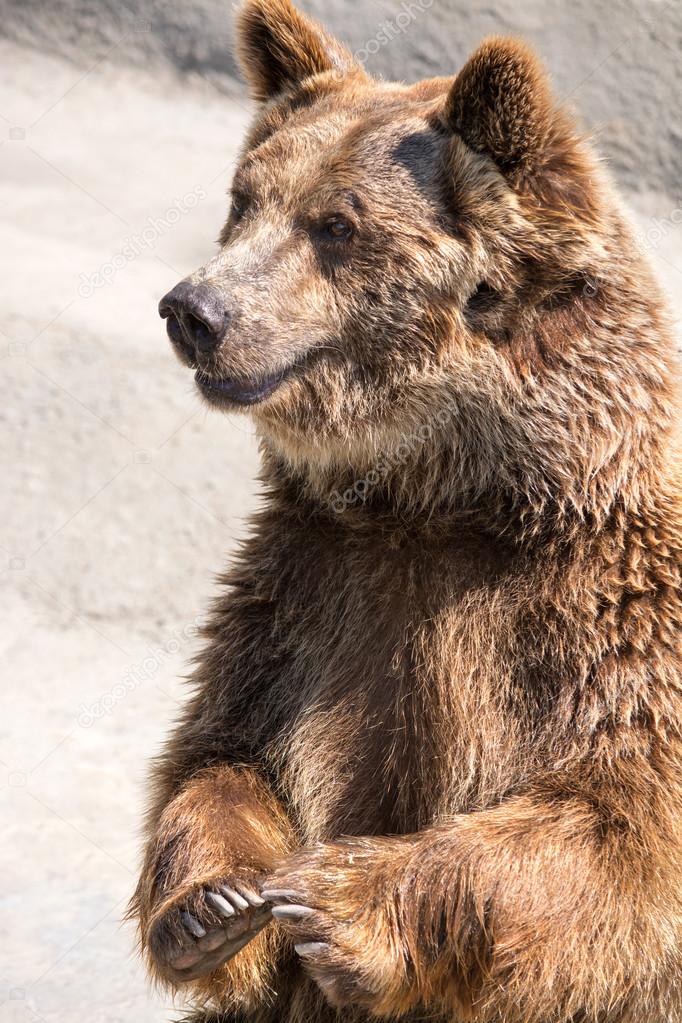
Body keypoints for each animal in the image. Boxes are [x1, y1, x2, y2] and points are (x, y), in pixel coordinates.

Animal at [130, 1, 682, 1023]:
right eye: (243, 198)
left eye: (336, 223)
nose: (194, 308)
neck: (448, 495)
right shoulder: (308, 595)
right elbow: (222, 752)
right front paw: (213, 905)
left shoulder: (608, 617)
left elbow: (615, 818)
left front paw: (338, 896)